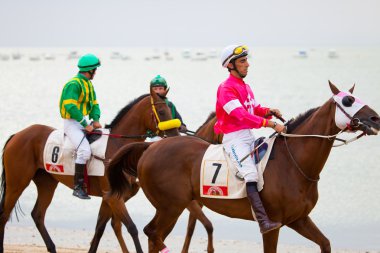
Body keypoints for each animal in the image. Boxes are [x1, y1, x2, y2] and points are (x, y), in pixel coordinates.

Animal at [0, 89, 180, 253]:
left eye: (170, 109)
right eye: (162, 111)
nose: (175, 134)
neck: (117, 147)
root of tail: (18, 134)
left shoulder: (109, 197)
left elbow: (99, 229)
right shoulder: (114, 198)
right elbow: (132, 227)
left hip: (47, 183)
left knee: (38, 214)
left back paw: (52, 247)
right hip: (17, 182)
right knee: (4, 214)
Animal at [107, 82, 380, 252]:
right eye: (348, 100)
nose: (375, 118)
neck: (294, 162)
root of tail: (150, 147)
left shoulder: (299, 219)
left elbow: (325, 244)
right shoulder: (272, 226)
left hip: (173, 206)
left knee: (154, 236)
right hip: (170, 206)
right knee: (152, 233)